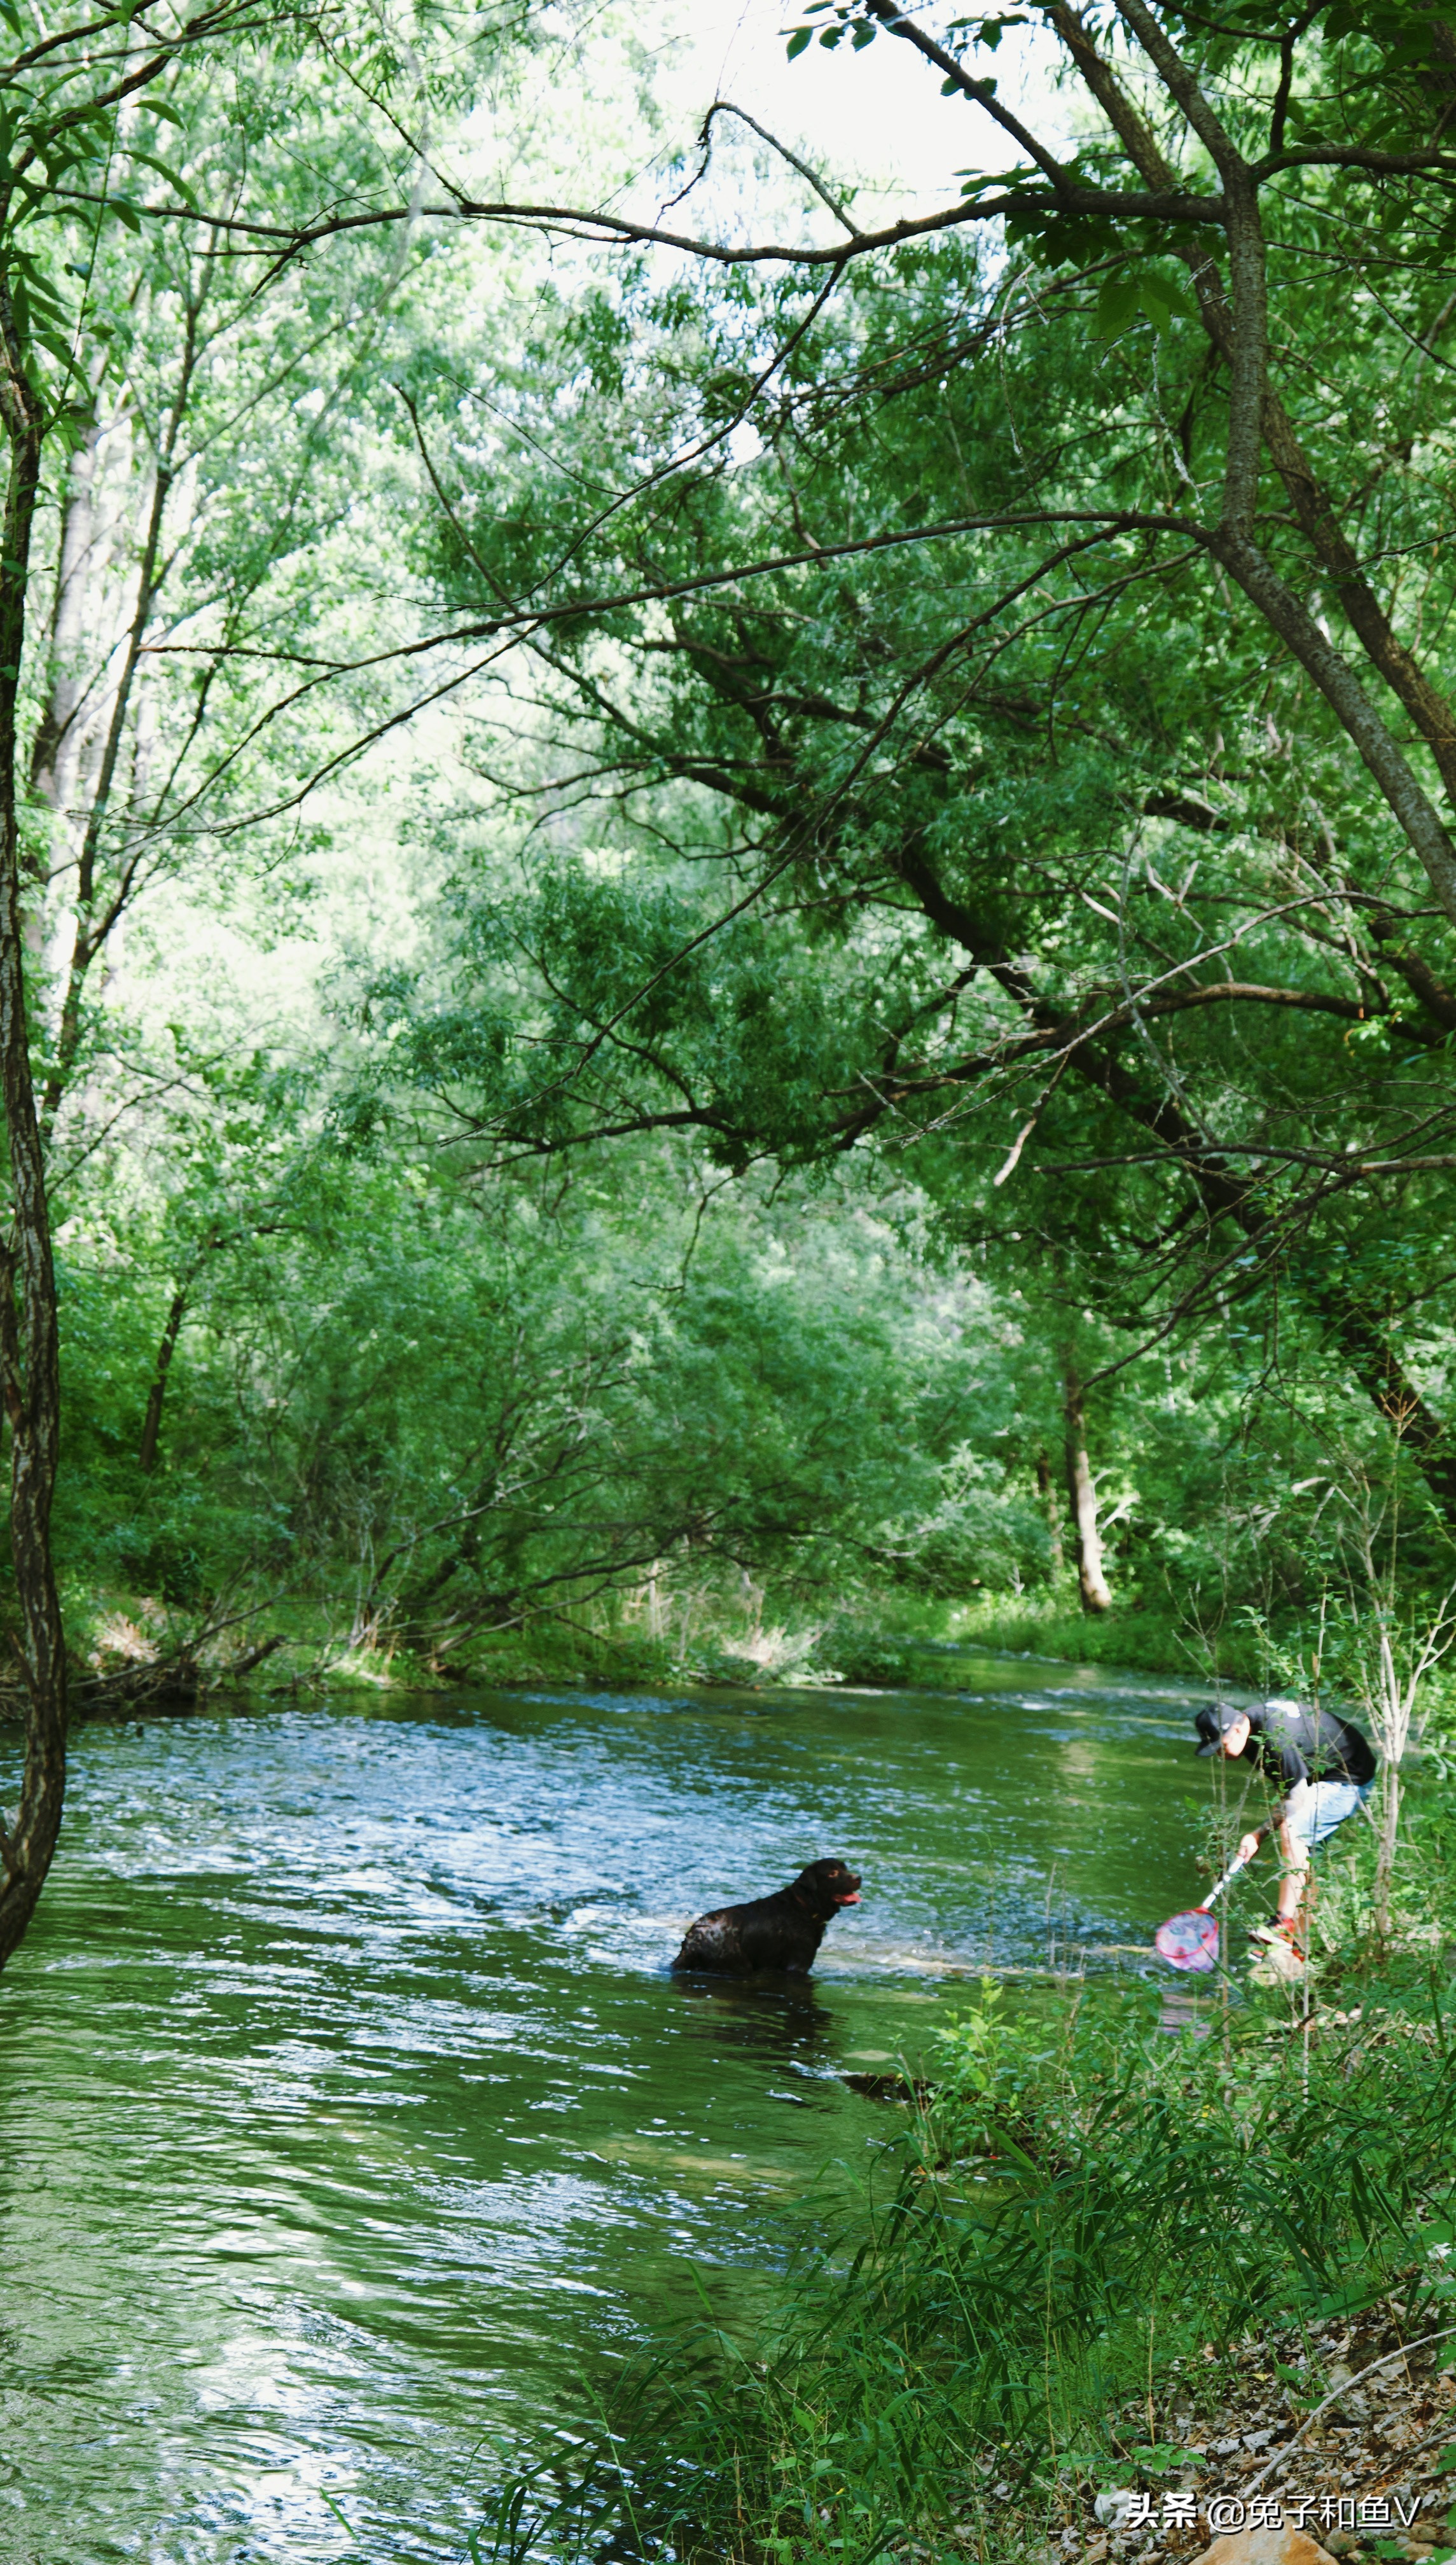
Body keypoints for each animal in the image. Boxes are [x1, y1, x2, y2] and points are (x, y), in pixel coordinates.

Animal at [671, 1857, 866, 1970]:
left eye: (845, 1868)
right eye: (833, 1873)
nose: (858, 1878)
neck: (804, 1907)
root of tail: (693, 1939)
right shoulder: (798, 1963)